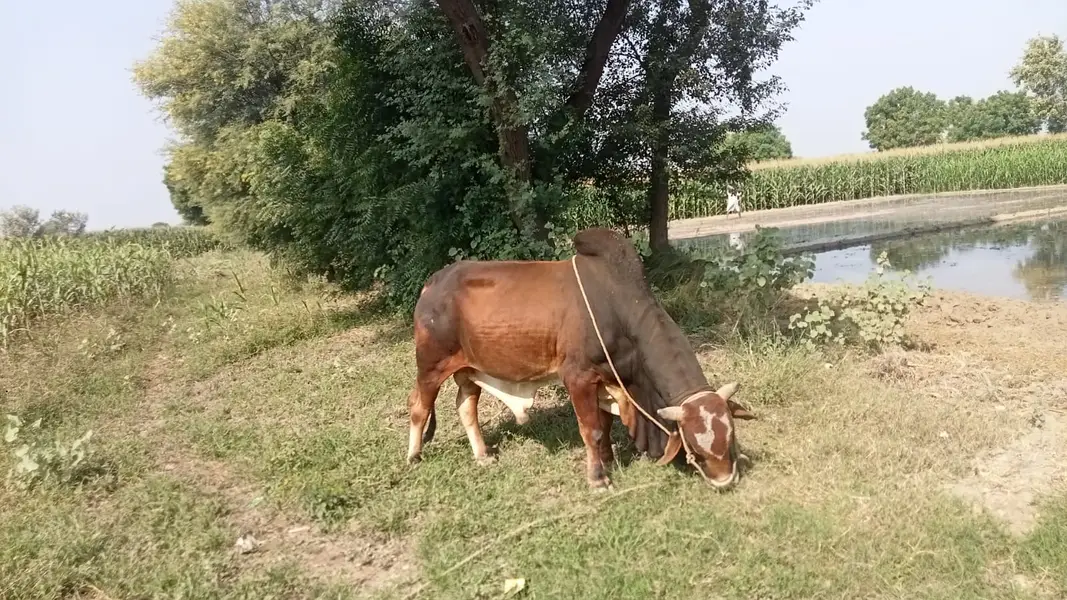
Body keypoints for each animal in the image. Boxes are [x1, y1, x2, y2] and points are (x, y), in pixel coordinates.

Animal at [404, 227, 756, 490]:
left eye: (731, 437)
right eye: (695, 447)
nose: (725, 481)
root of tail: (432, 283)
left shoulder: (607, 378)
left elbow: (605, 424)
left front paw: (609, 460)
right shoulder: (578, 377)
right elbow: (592, 430)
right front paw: (598, 478)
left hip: (469, 369)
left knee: (466, 406)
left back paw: (482, 455)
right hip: (430, 365)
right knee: (419, 407)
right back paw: (414, 457)